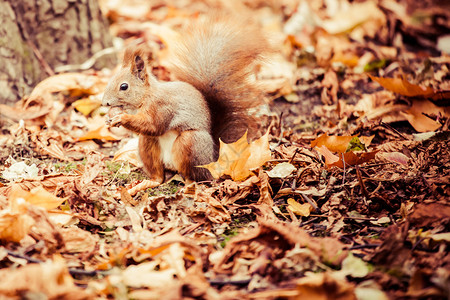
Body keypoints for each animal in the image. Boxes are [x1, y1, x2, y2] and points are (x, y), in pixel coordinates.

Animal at [102, 18, 268, 183]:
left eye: (124, 86)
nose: (104, 103)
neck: (145, 97)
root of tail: (213, 159)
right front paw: (108, 119)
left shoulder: (162, 106)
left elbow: (154, 125)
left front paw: (122, 118)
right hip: (148, 144)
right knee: (158, 173)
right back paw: (150, 182)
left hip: (190, 143)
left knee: (193, 174)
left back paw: (189, 184)